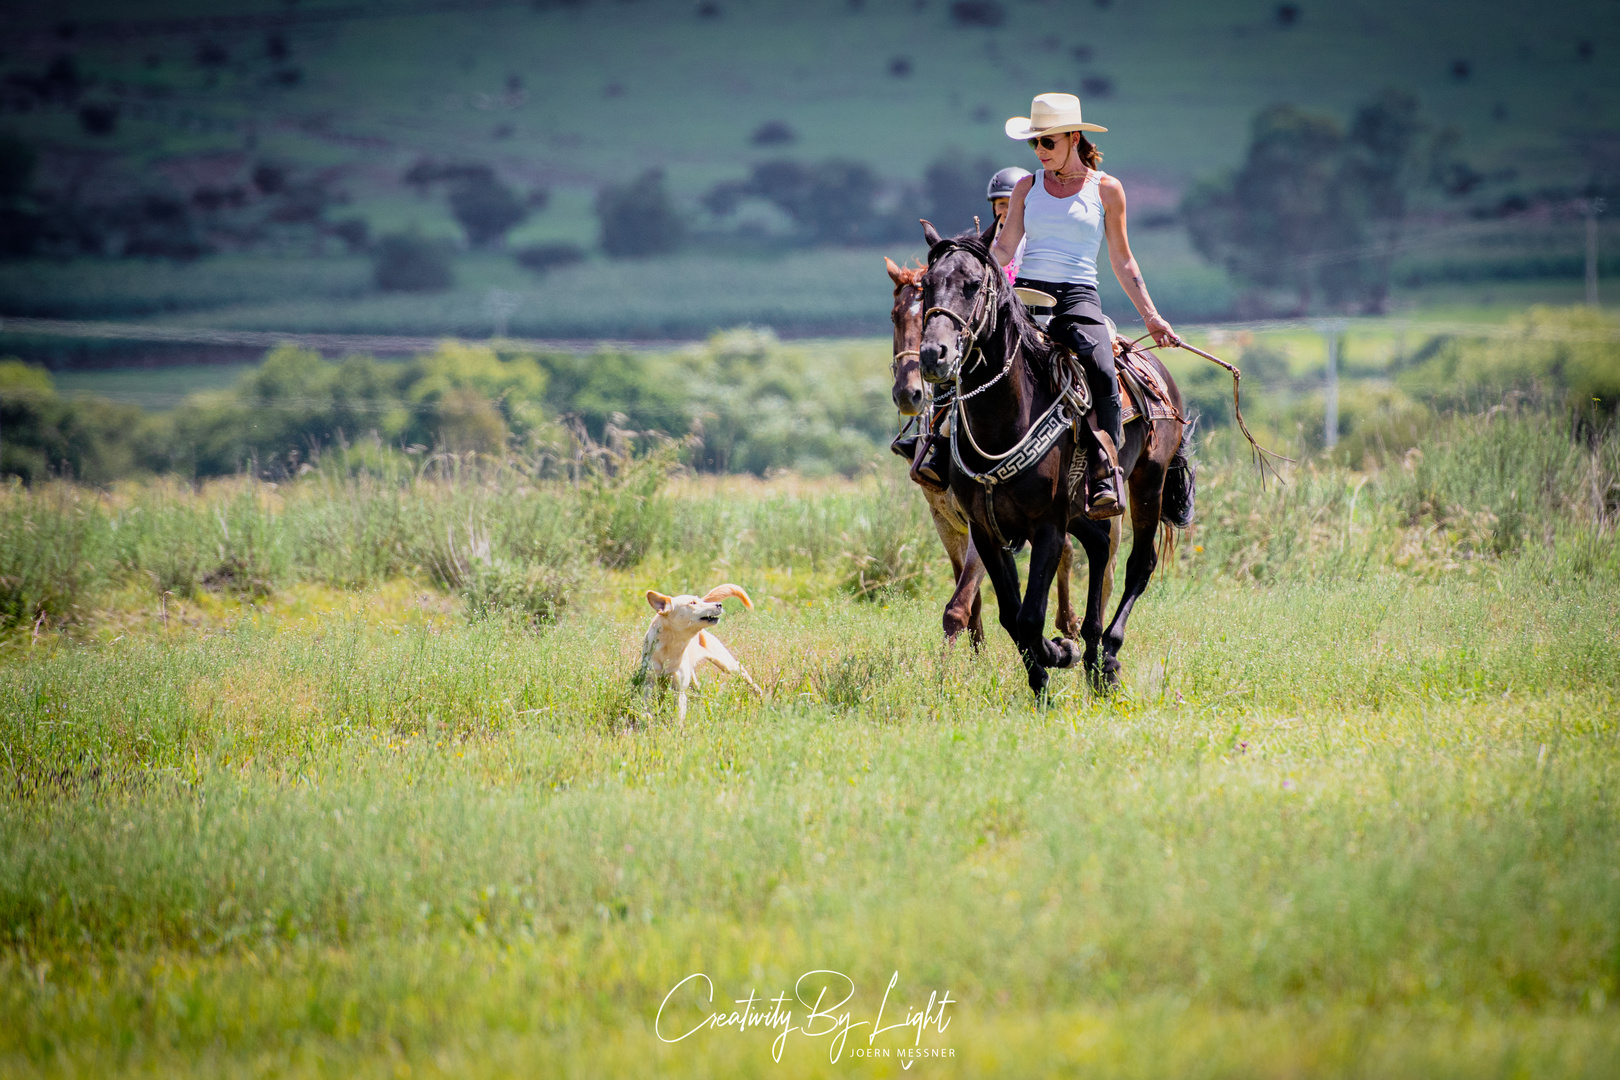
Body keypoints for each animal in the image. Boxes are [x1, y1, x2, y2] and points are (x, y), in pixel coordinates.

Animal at [635, 582, 761, 718]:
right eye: (693, 603)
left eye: (699, 601)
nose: (719, 604)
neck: (670, 648)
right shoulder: (649, 686)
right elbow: (647, 711)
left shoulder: (679, 691)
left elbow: (678, 718)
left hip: (728, 665)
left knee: (746, 676)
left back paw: (761, 698)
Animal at [887, 257, 1088, 647]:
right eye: (894, 316)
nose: (908, 393)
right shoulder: (947, 524)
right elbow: (973, 603)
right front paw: (975, 656)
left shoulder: (984, 526)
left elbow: (959, 605)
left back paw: (1071, 624)